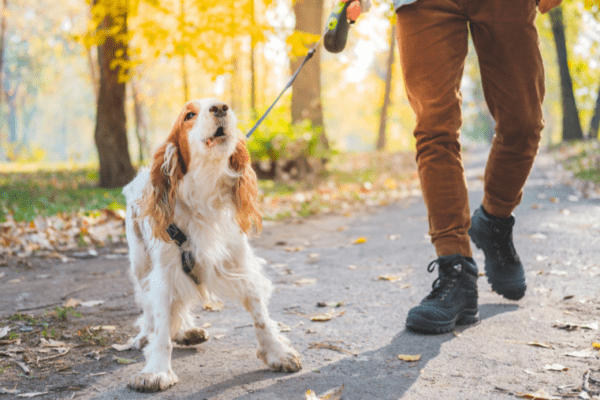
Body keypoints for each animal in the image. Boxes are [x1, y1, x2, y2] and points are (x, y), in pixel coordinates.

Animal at [122, 98, 302, 392]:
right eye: (189, 115)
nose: (220, 107)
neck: (204, 192)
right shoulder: (165, 272)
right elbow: (161, 325)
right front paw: (156, 370)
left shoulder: (239, 262)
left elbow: (260, 315)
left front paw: (277, 352)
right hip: (140, 262)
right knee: (148, 306)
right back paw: (146, 334)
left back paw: (187, 331)